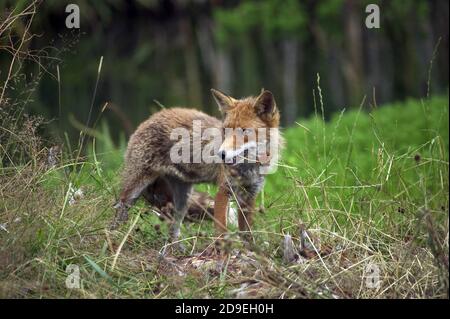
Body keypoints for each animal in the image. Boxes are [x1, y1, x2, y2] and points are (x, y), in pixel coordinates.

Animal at [112, 89, 282, 250]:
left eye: (245, 131)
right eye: (225, 130)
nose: (221, 154)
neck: (248, 168)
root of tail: (151, 117)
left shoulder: (250, 195)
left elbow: (246, 233)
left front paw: (252, 252)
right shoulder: (223, 191)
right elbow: (221, 232)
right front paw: (223, 255)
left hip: (182, 201)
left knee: (173, 229)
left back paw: (175, 250)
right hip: (133, 191)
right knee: (117, 213)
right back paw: (112, 241)